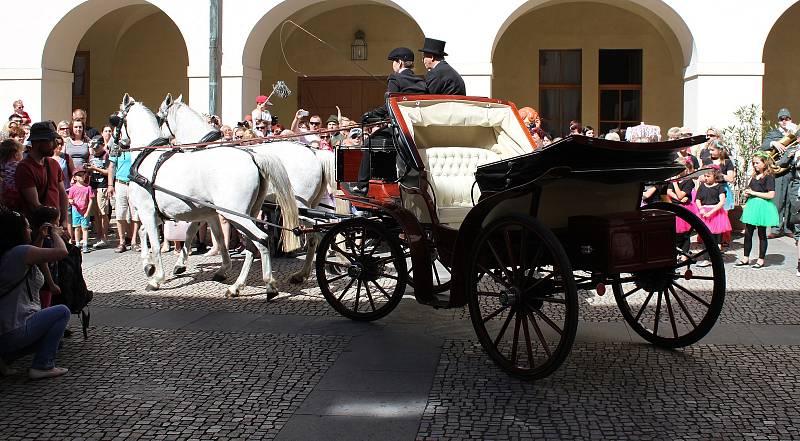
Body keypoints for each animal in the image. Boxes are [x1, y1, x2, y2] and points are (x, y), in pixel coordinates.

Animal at [110, 94, 300, 298]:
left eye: (115, 120)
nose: (112, 145)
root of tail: (253, 157)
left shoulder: (148, 211)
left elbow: (156, 241)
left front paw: (157, 277)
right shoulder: (200, 212)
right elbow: (214, 238)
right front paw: (149, 266)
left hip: (236, 214)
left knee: (261, 239)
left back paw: (269, 285)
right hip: (248, 213)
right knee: (252, 244)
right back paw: (238, 286)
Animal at [158, 94, 336, 284]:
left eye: (159, 117)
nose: (160, 141)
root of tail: (315, 153)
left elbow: (191, 231)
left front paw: (179, 265)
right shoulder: (206, 206)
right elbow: (209, 233)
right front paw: (219, 267)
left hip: (297, 207)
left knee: (315, 234)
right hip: (311, 205)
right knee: (316, 234)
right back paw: (310, 271)